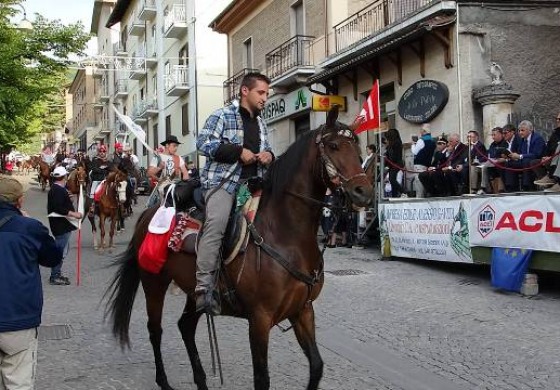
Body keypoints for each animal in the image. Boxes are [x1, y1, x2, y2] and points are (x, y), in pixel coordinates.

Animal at [105, 108, 376, 390]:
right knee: (155, 330)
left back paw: (201, 381)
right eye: (334, 146)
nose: (364, 192)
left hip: (194, 290)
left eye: (357, 147)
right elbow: (262, 379)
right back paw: (164, 382)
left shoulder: (303, 311)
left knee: (185, 327)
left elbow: (316, 366)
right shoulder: (259, 319)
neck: (285, 235)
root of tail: (148, 213)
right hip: (154, 283)